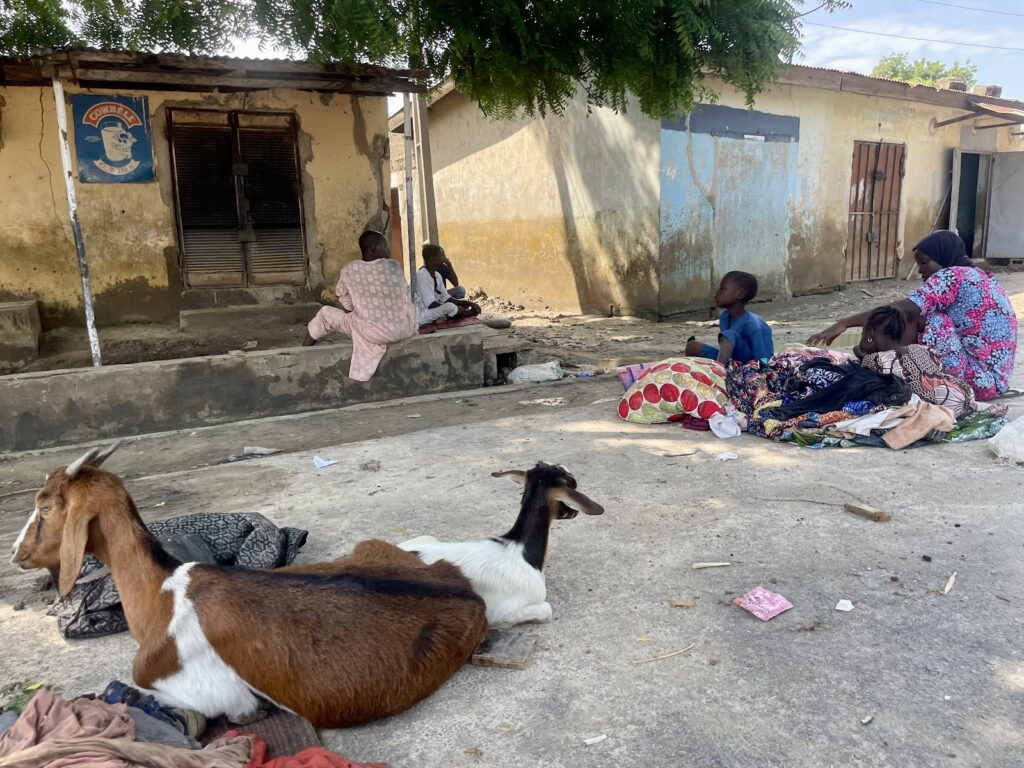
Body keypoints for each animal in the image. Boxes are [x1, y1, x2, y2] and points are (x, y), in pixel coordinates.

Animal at [8, 444, 487, 729]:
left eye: (44, 507)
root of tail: (467, 593)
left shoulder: (204, 690)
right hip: (375, 546)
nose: (16, 553)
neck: (162, 593)